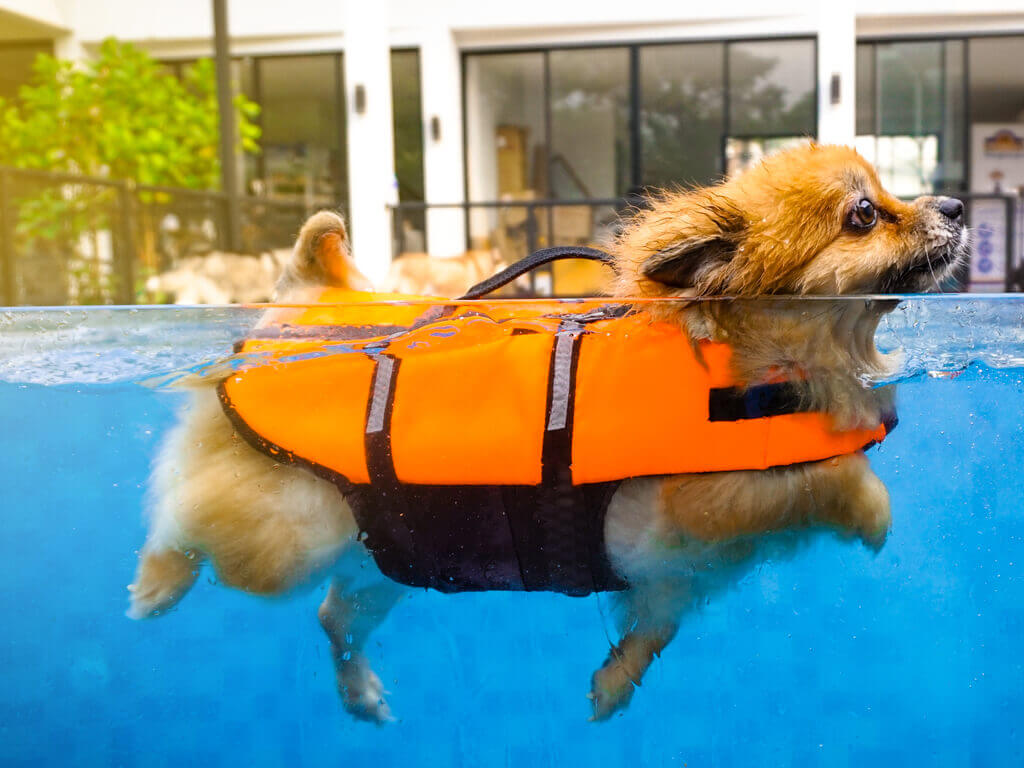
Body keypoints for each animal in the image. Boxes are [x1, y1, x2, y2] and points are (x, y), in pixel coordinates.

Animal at [128, 143, 966, 720]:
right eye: (864, 214)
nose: (957, 205)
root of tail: (297, 305)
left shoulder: (672, 581)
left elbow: (652, 633)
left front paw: (612, 687)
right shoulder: (702, 505)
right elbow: (827, 475)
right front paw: (872, 513)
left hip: (388, 552)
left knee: (334, 614)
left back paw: (361, 692)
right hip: (284, 533)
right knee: (184, 518)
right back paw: (155, 585)